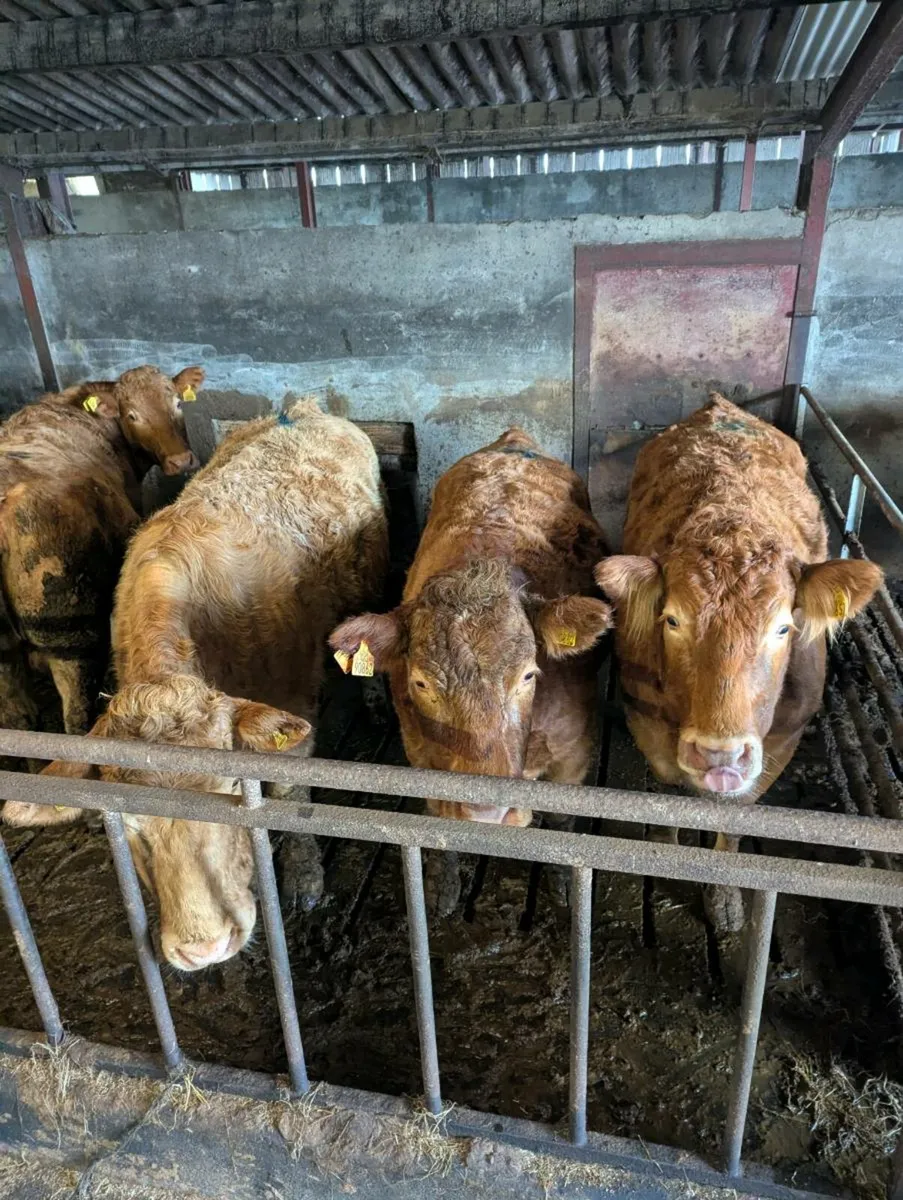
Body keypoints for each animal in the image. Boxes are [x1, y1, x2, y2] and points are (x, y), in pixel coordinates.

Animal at [0, 365, 201, 738]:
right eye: (132, 415)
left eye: (178, 403)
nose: (180, 460)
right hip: (68, 633)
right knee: (75, 713)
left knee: (18, 716)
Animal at [3, 399, 389, 970]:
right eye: (129, 825)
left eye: (229, 790)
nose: (204, 946)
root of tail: (302, 409)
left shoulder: (292, 705)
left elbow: (291, 792)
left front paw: (303, 878)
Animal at [330, 427, 613, 915]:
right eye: (421, 682)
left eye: (528, 676)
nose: (487, 814)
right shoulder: (420, 756)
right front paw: (445, 889)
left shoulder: (574, 751)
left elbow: (563, 821)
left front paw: (564, 886)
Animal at [594, 393, 883, 931]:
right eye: (671, 619)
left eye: (784, 627)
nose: (718, 754)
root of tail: (719, 406)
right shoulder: (647, 724)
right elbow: (667, 801)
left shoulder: (783, 739)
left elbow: (735, 817)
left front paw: (724, 898)